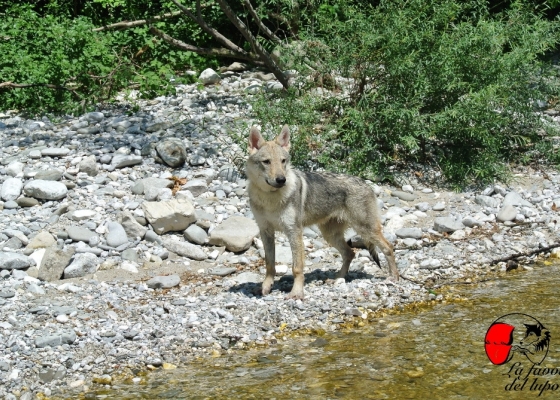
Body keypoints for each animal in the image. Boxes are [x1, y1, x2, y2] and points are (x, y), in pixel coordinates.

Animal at [245, 126, 398, 300]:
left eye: (283, 161)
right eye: (266, 162)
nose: (281, 180)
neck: (270, 198)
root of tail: (366, 183)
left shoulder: (294, 232)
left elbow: (297, 267)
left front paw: (296, 292)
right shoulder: (266, 231)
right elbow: (270, 264)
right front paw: (265, 287)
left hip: (365, 230)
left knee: (388, 247)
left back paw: (394, 278)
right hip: (331, 235)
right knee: (350, 253)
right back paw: (338, 279)